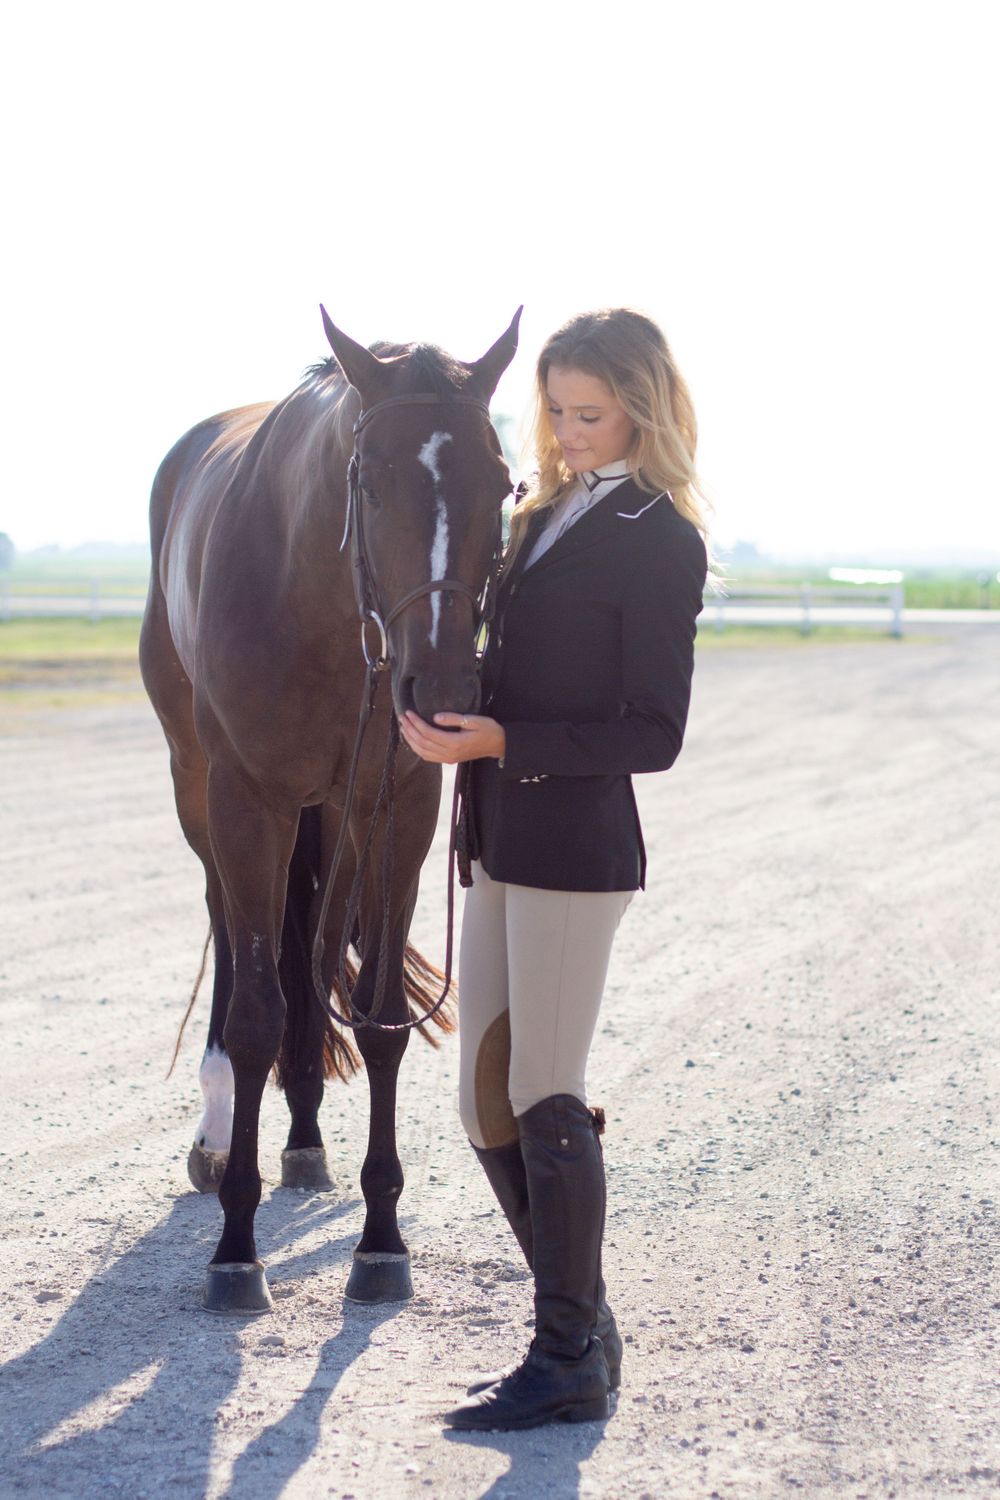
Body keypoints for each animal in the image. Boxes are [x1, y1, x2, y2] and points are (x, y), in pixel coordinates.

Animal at [139, 307, 521, 1312]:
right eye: (372, 483)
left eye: (502, 485)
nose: (447, 693)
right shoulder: (245, 802)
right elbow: (254, 1013)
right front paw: (237, 1248)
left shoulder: (398, 809)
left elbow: (380, 1017)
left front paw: (381, 1240)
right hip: (200, 788)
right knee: (234, 933)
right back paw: (218, 1132)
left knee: (310, 940)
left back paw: (305, 1136)